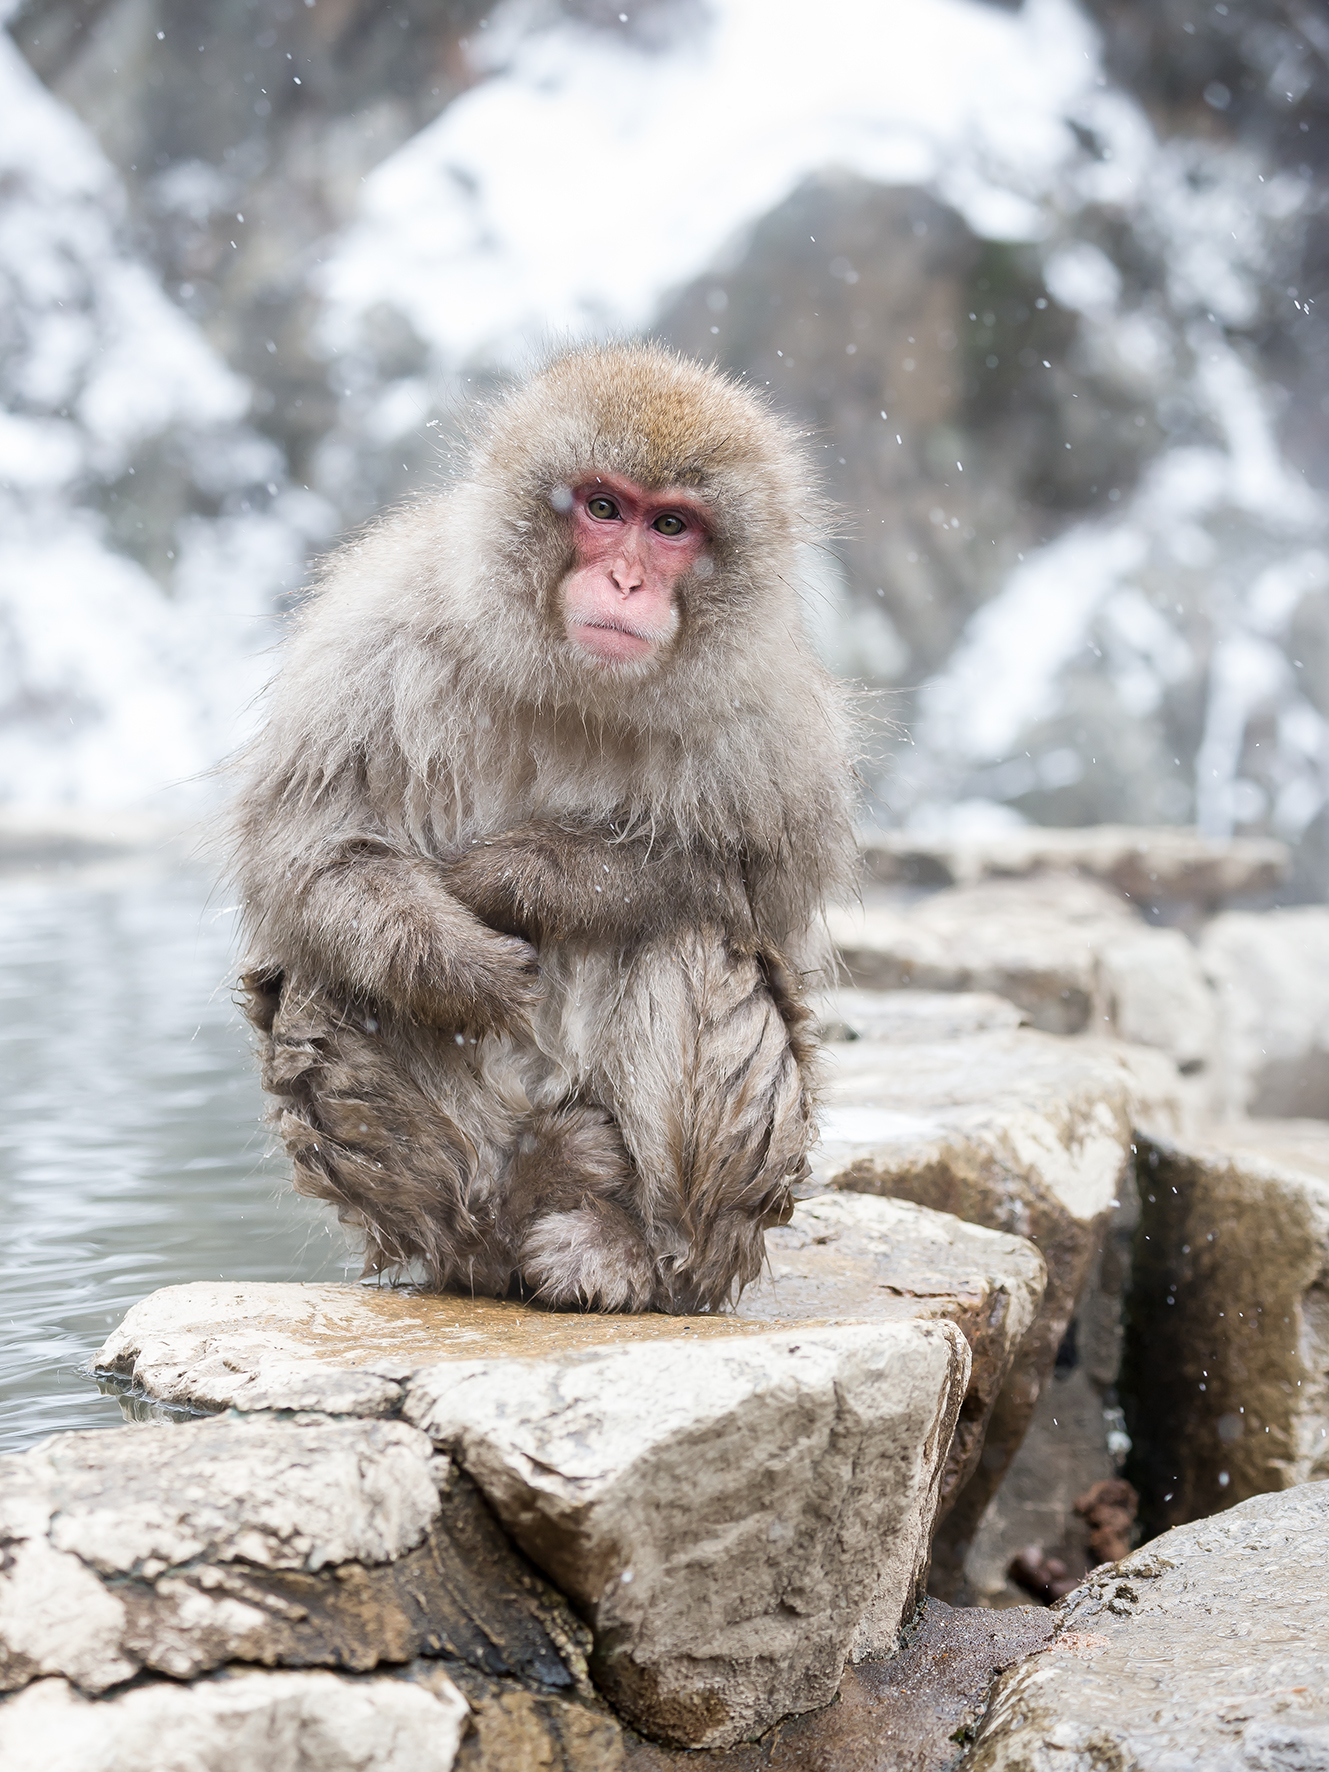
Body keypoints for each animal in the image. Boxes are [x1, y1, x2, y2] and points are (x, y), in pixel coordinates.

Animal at [229, 343, 857, 1314]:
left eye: (670, 525)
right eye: (602, 508)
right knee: (330, 974)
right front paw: (459, 962)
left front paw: (516, 876)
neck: (576, 687)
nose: (627, 580)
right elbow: (309, 852)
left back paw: (630, 1251)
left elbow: (756, 880)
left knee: (690, 935)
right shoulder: (375, 634)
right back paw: (491, 1211)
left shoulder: (772, 720)